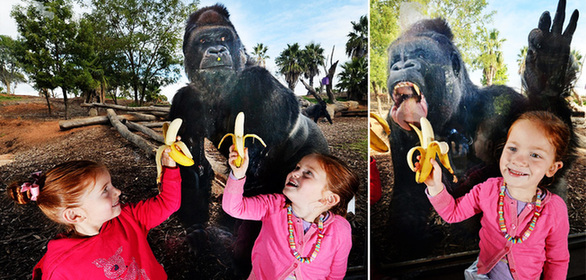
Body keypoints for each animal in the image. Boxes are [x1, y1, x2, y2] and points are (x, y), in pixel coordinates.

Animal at [167, 3, 328, 276]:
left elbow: (251, 173)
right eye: (203, 41)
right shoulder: (186, 101)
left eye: (223, 38)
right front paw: (197, 232)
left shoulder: (260, 84)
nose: (217, 50)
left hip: (316, 149)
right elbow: (196, 167)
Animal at [380, 0, 576, 262]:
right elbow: (408, 193)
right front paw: (412, 243)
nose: (401, 66)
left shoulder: (502, 102)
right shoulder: (395, 128)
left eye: (419, 55)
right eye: (396, 61)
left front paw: (549, 67)